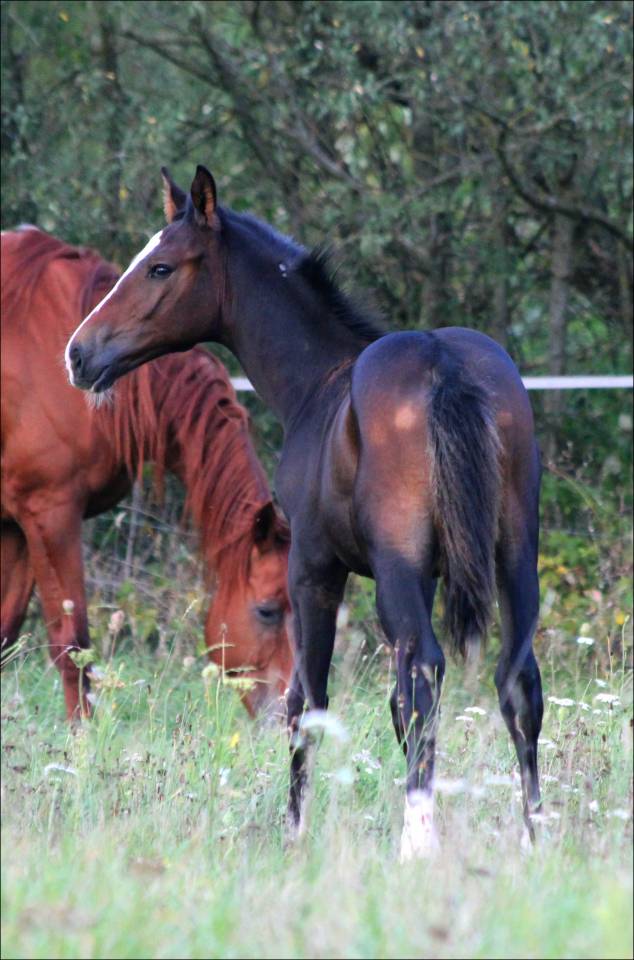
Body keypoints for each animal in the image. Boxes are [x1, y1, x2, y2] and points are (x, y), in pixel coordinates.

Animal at [65, 165, 544, 858]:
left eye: (160, 266)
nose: (79, 354)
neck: (320, 383)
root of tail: (444, 364)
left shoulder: (314, 569)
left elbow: (307, 702)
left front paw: (292, 833)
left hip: (398, 570)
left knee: (425, 674)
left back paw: (417, 843)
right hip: (514, 558)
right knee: (517, 681)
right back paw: (538, 835)